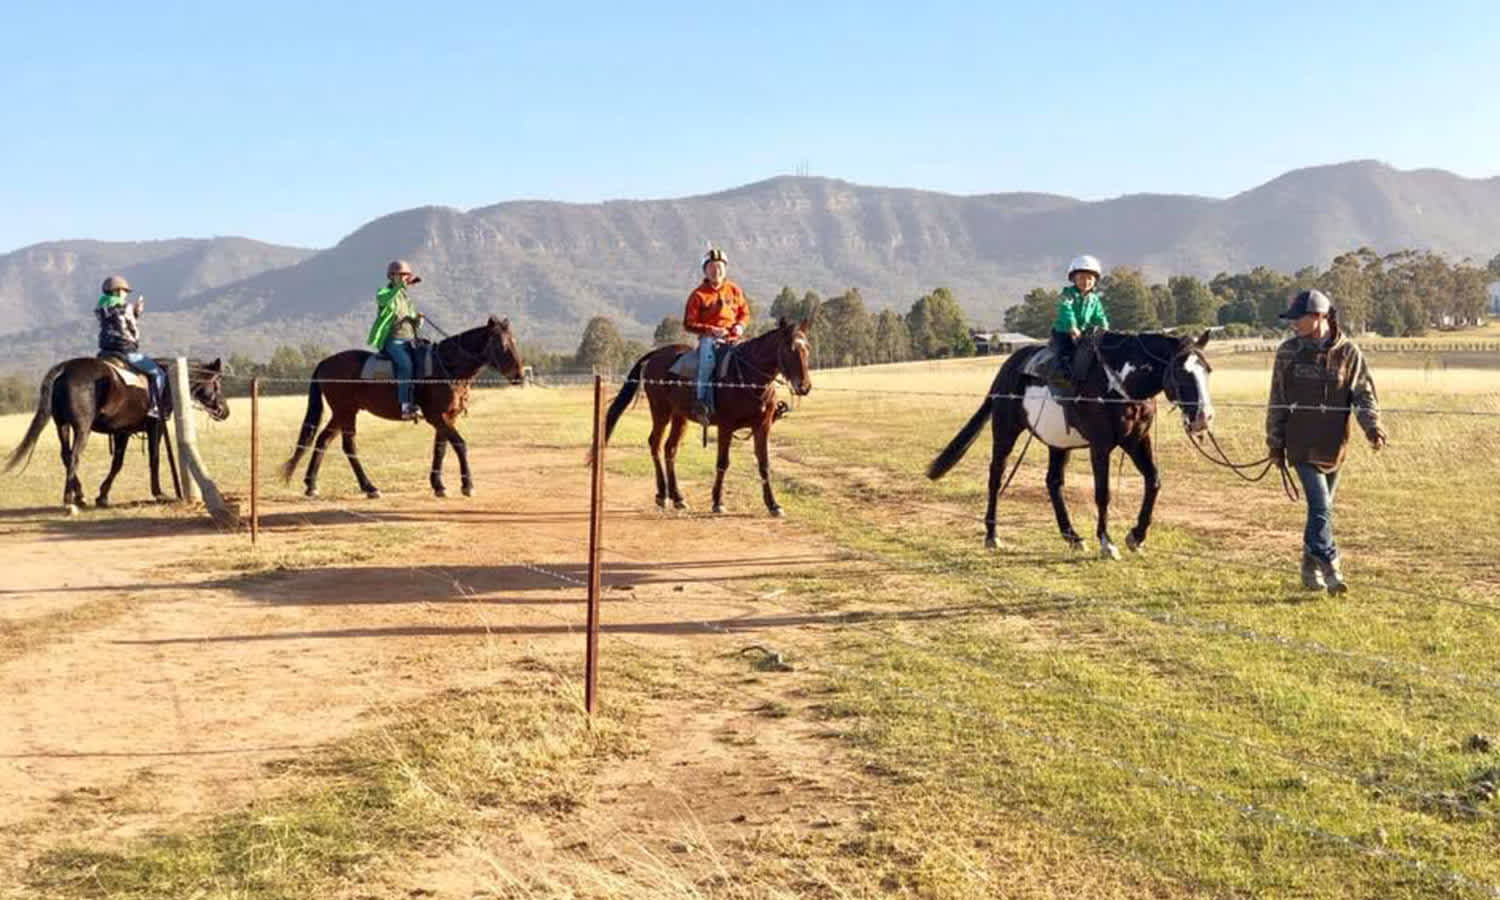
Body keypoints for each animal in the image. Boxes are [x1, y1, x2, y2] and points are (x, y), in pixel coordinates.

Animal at [4, 357, 229, 512]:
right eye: (217, 384)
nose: (225, 411)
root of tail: (64, 368)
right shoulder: (154, 427)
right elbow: (154, 459)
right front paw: (158, 493)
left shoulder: (123, 432)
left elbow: (117, 463)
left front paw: (102, 496)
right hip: (82, 427)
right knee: (75, 456)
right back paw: (70, 500)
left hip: (62, 426)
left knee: (66, 456)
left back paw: (79, 495)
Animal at [280, 316, 524, 499]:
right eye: (501, 345)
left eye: (515, 342)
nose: (519, 376)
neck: (446, 366)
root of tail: (325, 362)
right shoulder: (437, 417)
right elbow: (460, 445)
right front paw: (467, 486)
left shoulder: (447, 417)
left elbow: (440, 448)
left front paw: (438, 485)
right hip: (346, 411)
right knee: (348, 446)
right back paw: (369, 487)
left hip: (341, 412)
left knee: (323, 440)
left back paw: (311, 485)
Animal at [601, 319, 812, 516]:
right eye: (789, 349)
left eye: (807, 349)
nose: (804, 386)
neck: (748, 379)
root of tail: (656, 354)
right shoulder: (726, 426)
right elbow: (722, 463)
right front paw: (718, 502)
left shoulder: (762, 426)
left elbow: (764, 465)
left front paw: (773, 505)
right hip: (661, 411)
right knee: (655, 443)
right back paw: (662, 495)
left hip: (680, 416)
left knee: (670, 448)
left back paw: (678, 497)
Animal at [927, 330, 1214, 558]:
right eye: (1181, 372)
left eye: (1207, 370)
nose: (1204, 417)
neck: (1117, 384)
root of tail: (1007, 368)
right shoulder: (1100, 446)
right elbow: (1103, 493)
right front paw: (1107, 543)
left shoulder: (1136, 441)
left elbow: (1154, 481)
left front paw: (1136, 536)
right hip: (1005, 432)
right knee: (996, 477)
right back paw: (992, 535)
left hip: (1058, 443)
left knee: (1053, 483)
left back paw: (1072, 537)